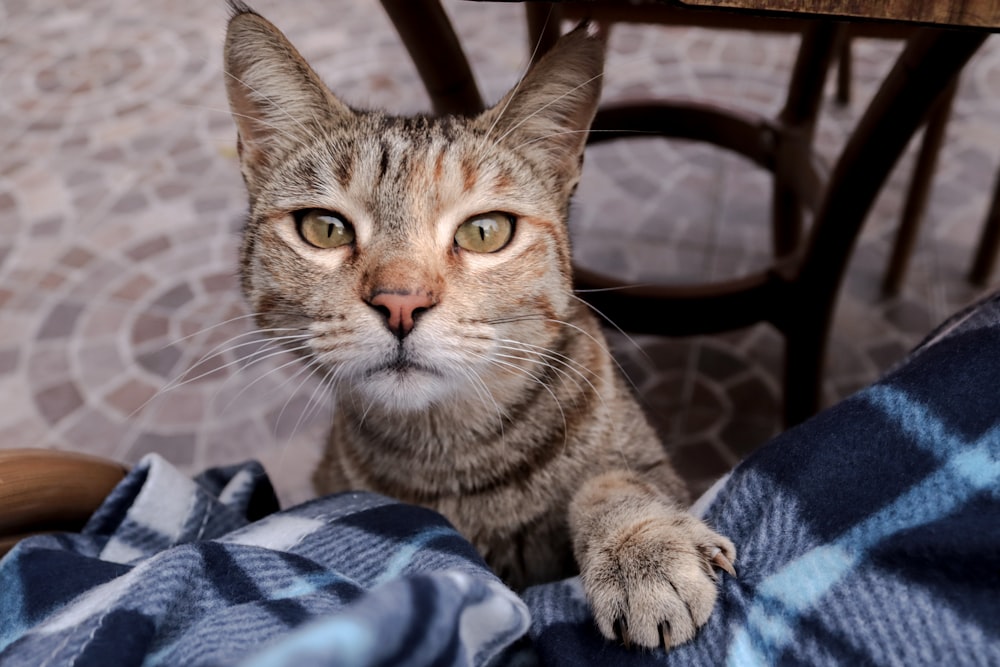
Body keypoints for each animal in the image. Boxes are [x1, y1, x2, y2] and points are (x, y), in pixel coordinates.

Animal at [223, 1, 736, 652]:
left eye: (485, 232)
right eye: (325, 229)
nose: (401, 302)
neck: (455, 455)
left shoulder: (643, 459)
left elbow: (612, 482)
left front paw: (641, 546)